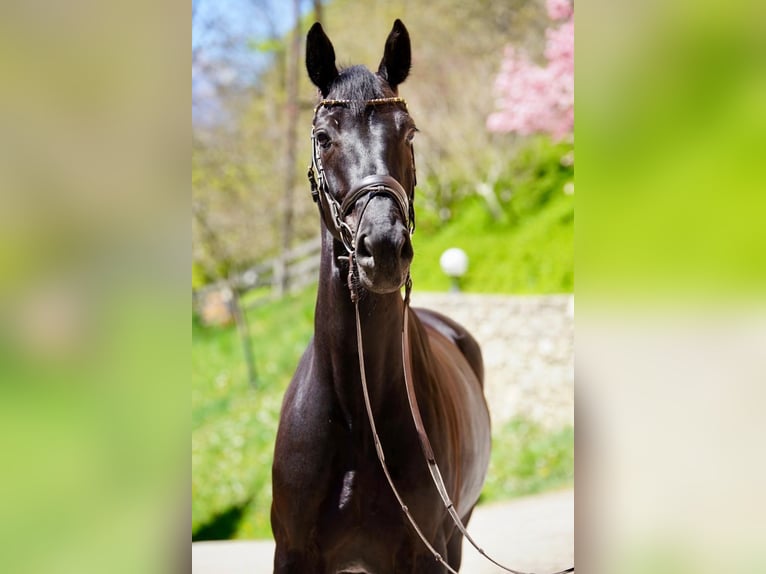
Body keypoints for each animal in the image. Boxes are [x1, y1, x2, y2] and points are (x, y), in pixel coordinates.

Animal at [271, 20, 491, 574]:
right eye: (324, 138)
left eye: (408, 132)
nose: (385, 248)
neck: (356, 414)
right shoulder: (292, 553)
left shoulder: (428, 551)